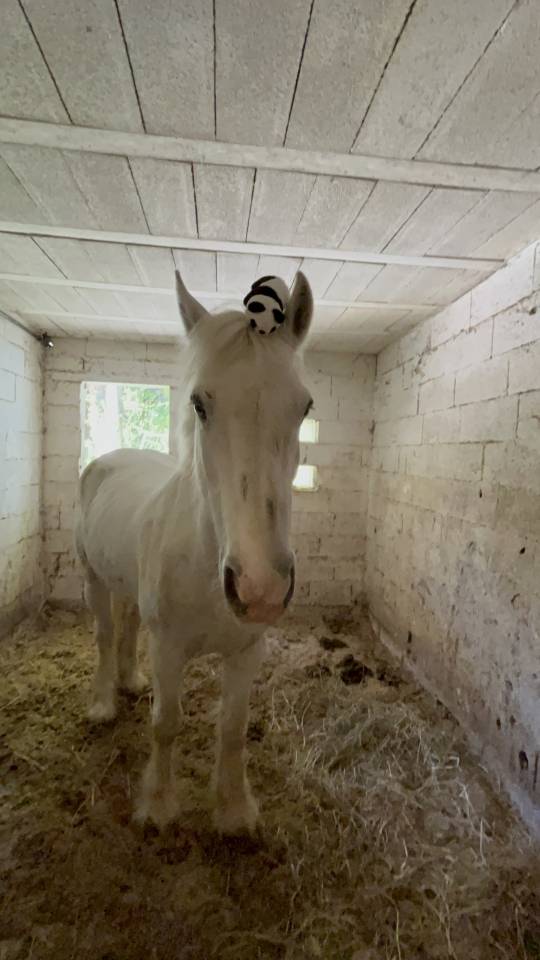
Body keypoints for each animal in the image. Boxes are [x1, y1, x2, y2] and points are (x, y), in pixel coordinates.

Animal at [75, 270, 314, 833]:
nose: (259, 588)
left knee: (127, 625)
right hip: (93, 577)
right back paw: (104, 702)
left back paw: (130, 681)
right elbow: (166, 723)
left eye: (305, 407)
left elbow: (233, 727)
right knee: (105, 634)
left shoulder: (247, 650)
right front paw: (159, 805)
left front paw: (234, 809)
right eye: (200, 405)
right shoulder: (169, 648)